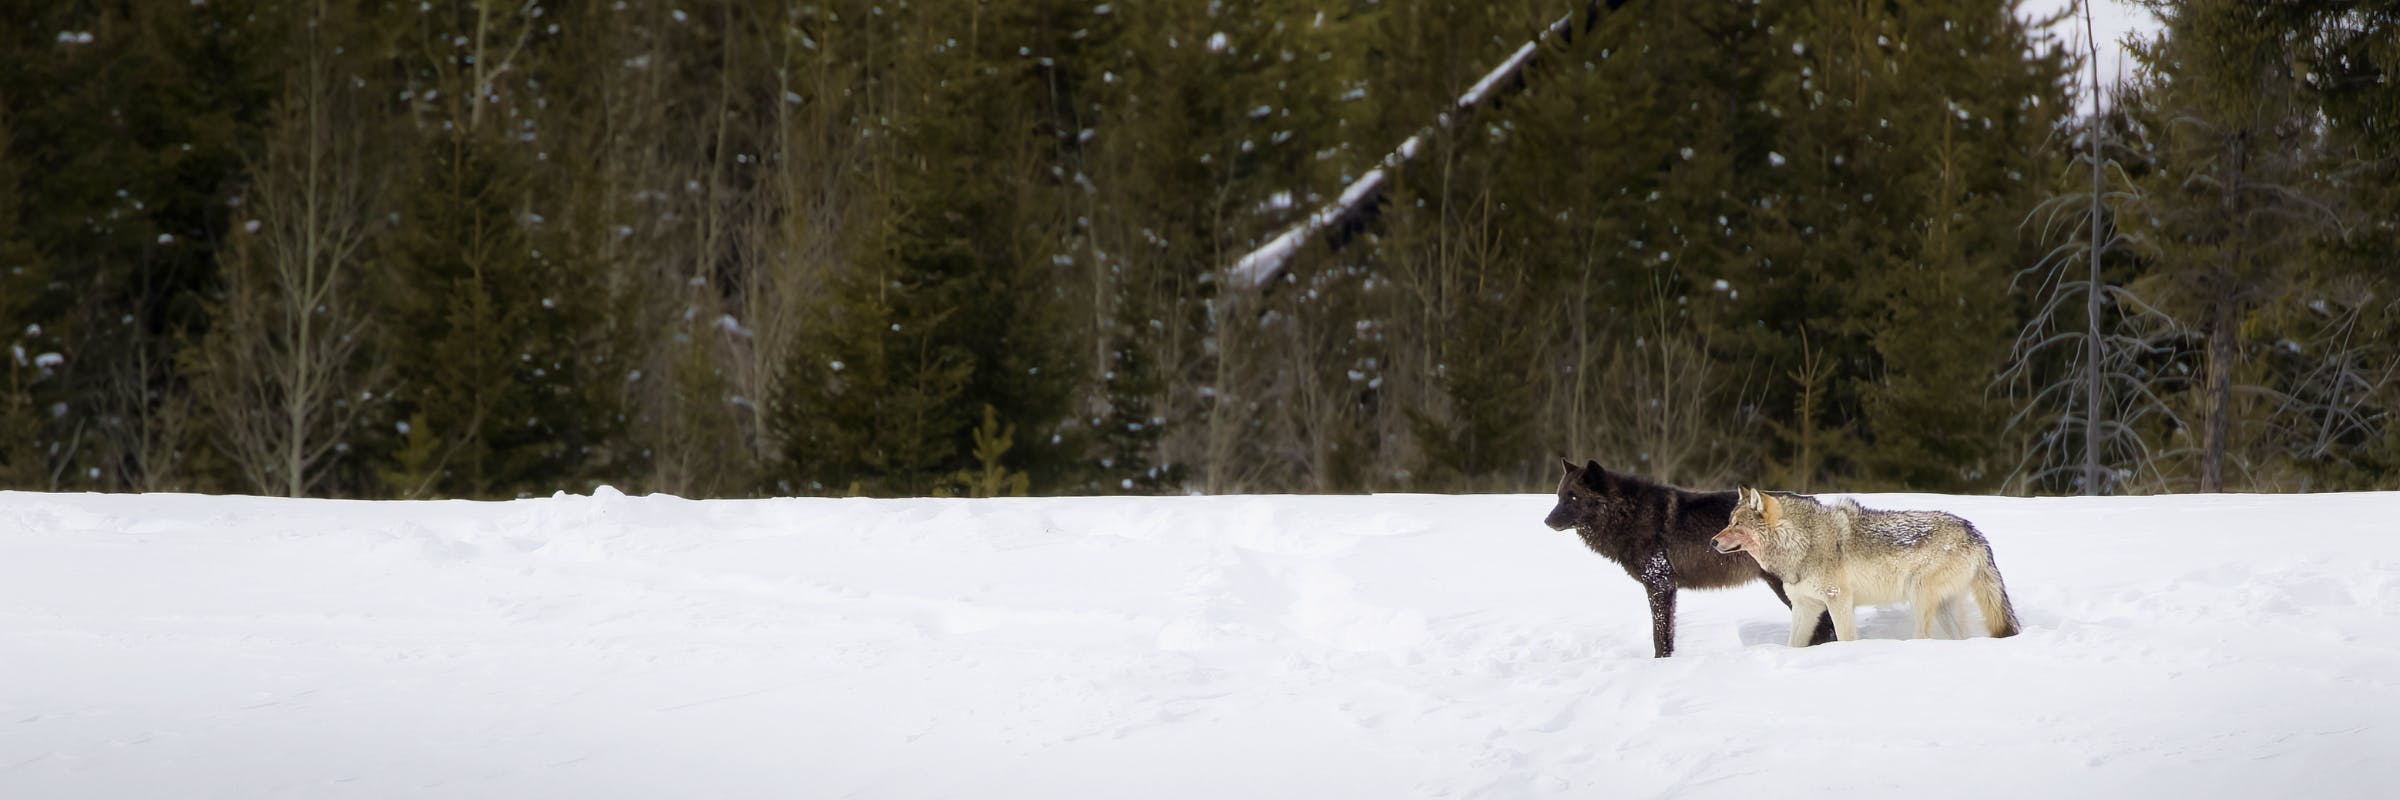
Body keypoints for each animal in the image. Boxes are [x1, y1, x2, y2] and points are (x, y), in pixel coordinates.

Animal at [1542, 460, 1835, 658]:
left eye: (1573, 498)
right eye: (1559, 496)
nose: (1546, 521)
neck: (1629, 513)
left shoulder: (1659, 584)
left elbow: (1659, 634)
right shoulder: (1665, 587)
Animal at [1709, 488, 2021, 646]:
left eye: (1736, 525)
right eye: (1729, 522)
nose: (1712, 542)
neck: (1802, 541)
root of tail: (1976, 533)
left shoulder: (1839, 601)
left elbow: (1846, 639)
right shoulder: (1804, 606)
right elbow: (1793, 644)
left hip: (1919, 595)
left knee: (1924, 637)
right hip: (1943, 607)